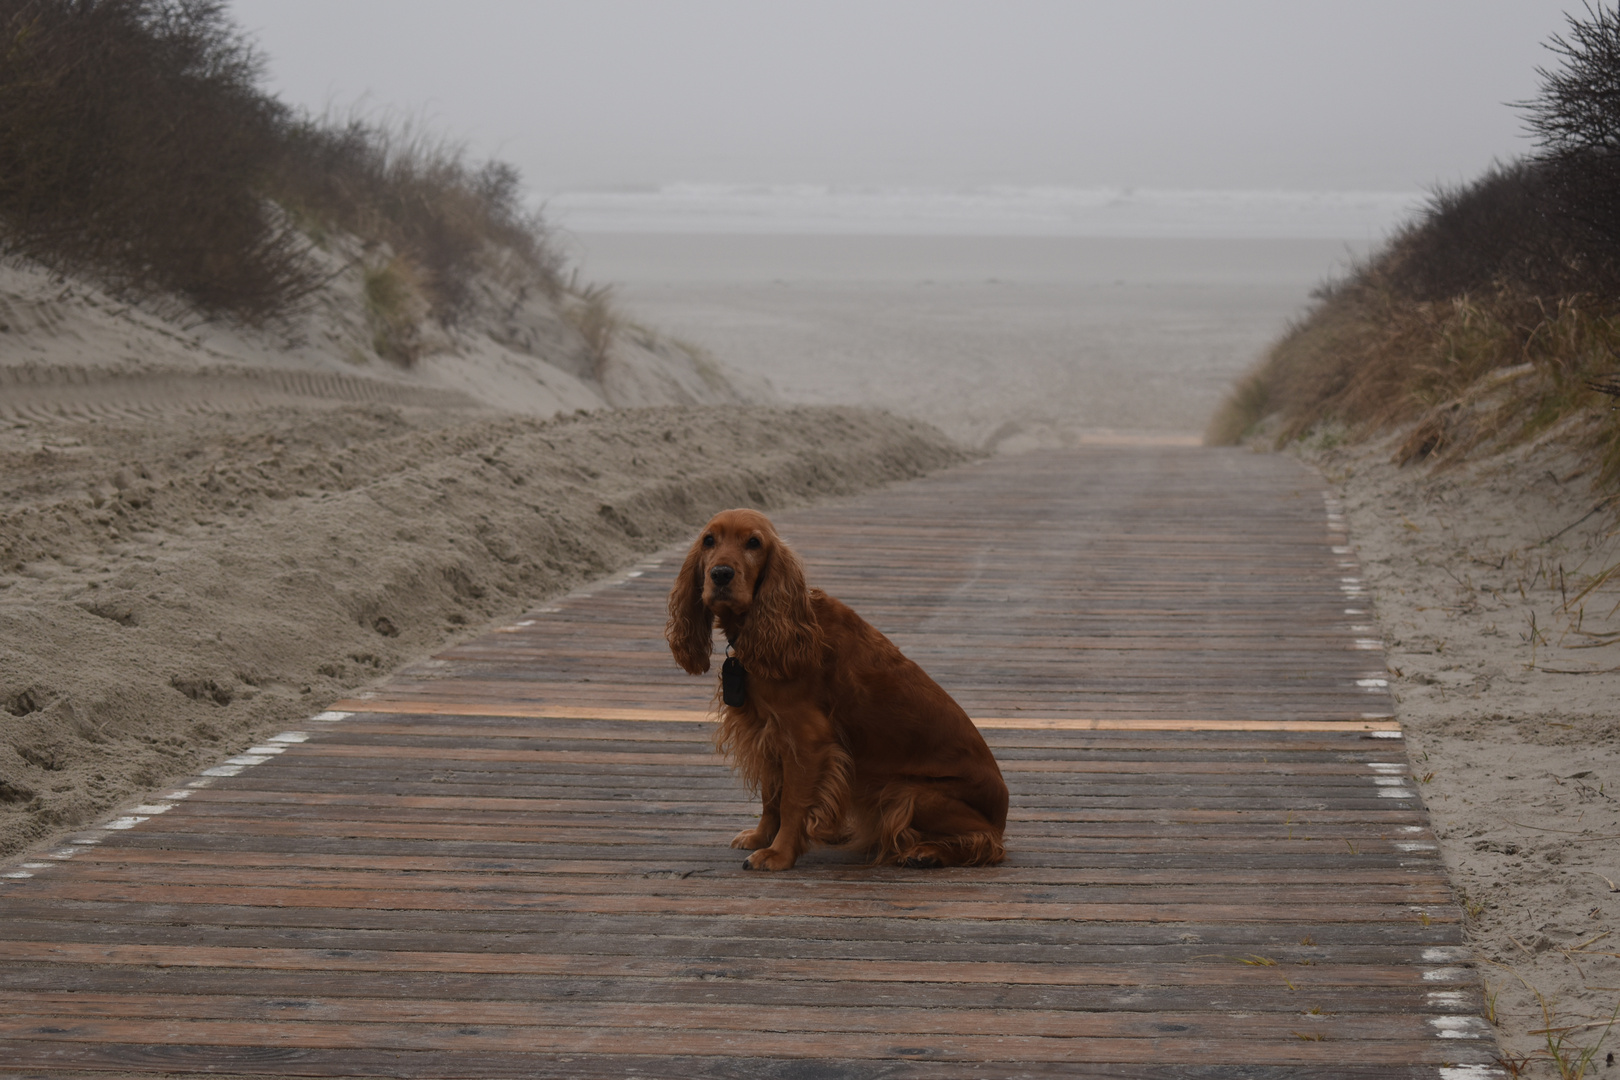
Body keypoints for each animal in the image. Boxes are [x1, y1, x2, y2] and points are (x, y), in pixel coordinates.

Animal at [664, 508, 1004, 867]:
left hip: (908, 792)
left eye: (754, 543)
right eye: (708, 540)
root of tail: (1003, 812)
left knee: (988, 842)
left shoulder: (806, 738)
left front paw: (778, 853)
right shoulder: (767, 732)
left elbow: (791, 802)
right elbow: (771, 795)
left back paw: (926, 852)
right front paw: (761, 837)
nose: (721, 574)